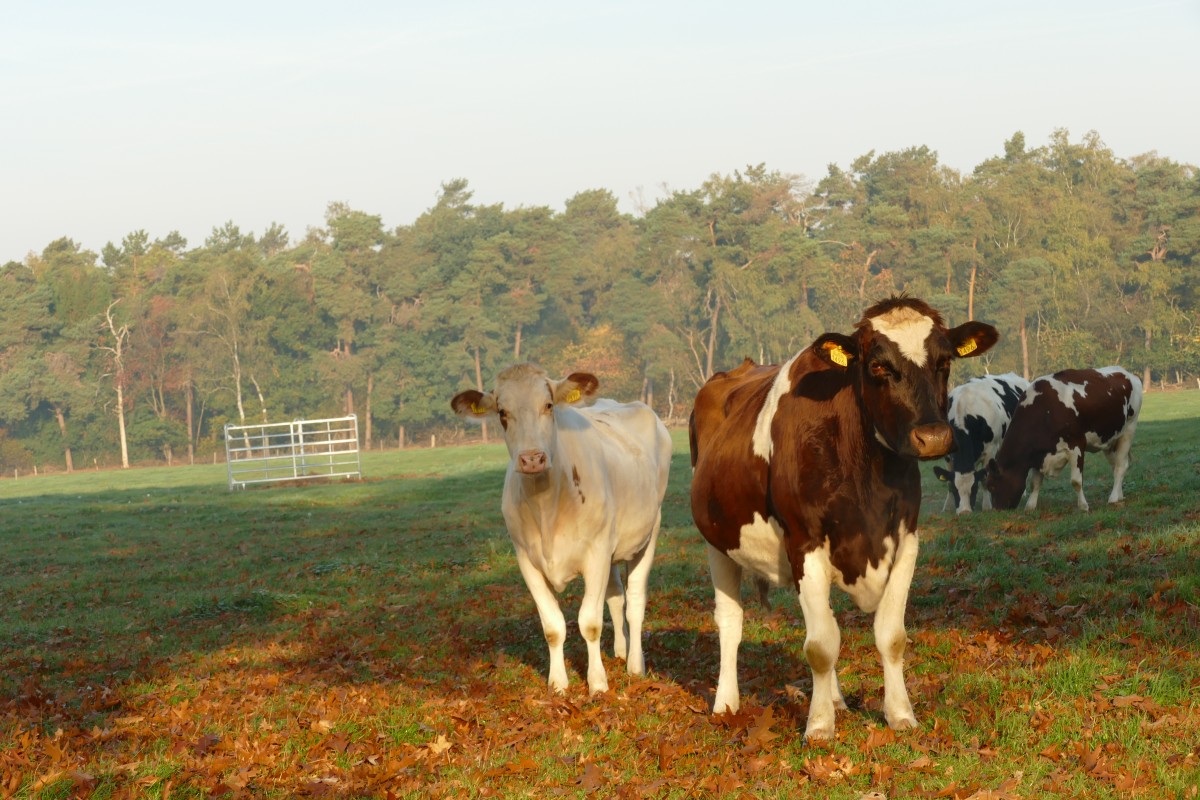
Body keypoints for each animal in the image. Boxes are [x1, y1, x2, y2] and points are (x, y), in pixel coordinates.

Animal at [451, 363, 672, 695]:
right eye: (502, 413)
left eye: (548, 405)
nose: (532, 458)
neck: (547, 508)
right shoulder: (526, 560)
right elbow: (553, 627)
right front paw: (557, 683)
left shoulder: (596, 554)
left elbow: (589, 623)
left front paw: (597, 683)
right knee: (617, 597)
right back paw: (621, 650)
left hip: (649, 532)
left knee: (634, 602)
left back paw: (635, 665)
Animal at [689, 296, 998, 740]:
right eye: (878, 366)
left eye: (944, 362)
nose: (934, 437)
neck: (866, 475)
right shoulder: (803, 542)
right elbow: (820, 647)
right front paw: (819, 725)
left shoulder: (905, 538)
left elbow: (889, 636)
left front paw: (899, 713)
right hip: (718, 541)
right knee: (731, 621)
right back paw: (726, 703)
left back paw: (834, 698)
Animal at [935, 373, 1030, 513]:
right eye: (956, 491)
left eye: (974, 489)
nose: (965, 512)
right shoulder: (948, 456)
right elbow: (948, 481)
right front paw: (948, 507)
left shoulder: (990, 450)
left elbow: (984, 479)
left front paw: (986, 506)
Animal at [984, 366, 1142, 512]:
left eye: (992, 486)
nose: (997, 510)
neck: (1046, 411)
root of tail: (1130, 374)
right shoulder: (1038, 454)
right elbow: (1035, 483)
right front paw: (1030, 506)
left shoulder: (1076, 445)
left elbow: (1076, 481)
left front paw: (1083, 506)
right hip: (1109, 440)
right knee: (1115, 466)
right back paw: (1119, 495)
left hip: (1129, 430)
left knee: (1121, 466)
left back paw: (1113, 498)